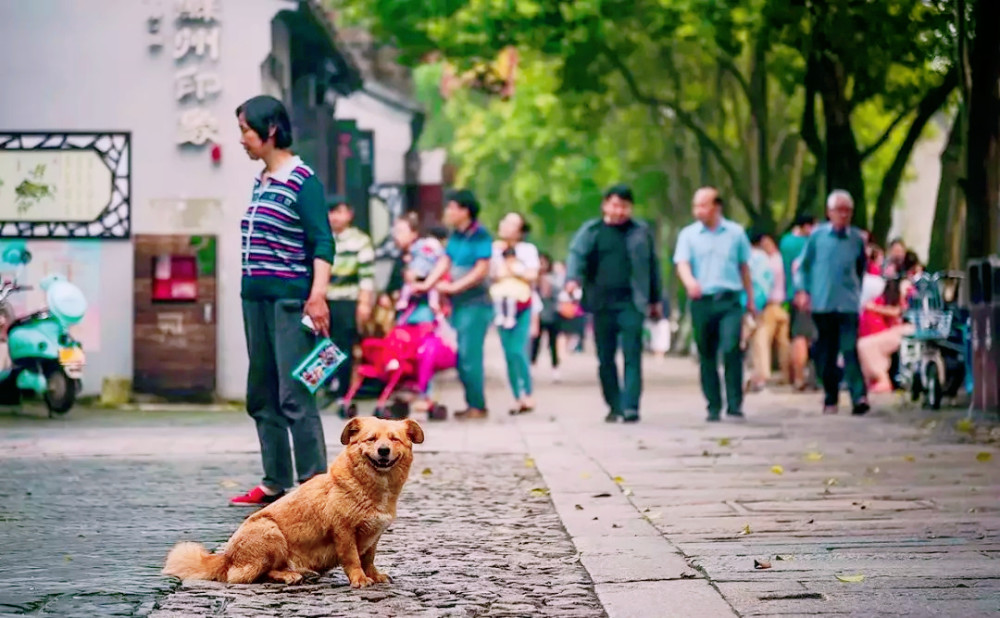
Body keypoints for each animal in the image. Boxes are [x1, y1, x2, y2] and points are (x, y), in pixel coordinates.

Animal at [161, 416, 426, 584]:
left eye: (394, 439)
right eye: (371, 439)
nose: (383, 451)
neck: (370, 487)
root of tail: (226, 558)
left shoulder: (373, 536)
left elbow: (368, 559)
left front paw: (373, 575)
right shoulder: (344, 532)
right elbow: (352, 559)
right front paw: (360, 579)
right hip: (271, 532)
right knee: (249, 576)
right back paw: (289, 575)